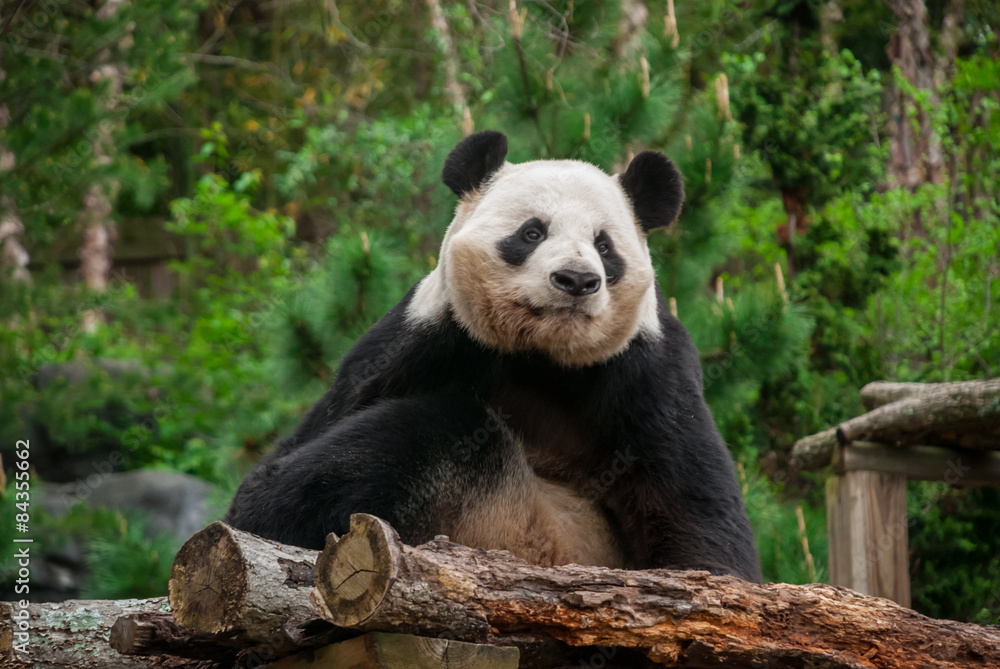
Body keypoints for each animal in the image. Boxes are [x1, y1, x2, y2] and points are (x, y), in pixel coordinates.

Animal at [225, 131, 761, 582]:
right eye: (532, 232)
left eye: (605, 246)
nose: (576, 280)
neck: (541, 353)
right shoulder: (419, 341)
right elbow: (316, 431)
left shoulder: (649, 371)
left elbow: (695, 503)